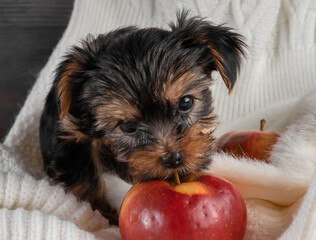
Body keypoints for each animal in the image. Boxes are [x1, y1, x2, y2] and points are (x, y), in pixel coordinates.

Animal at [39, 12, 246, 224]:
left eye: (186, 102)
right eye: (128, 127)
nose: (172, 159)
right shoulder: (71, 135)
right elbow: (87, 180)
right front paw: (105, 214)